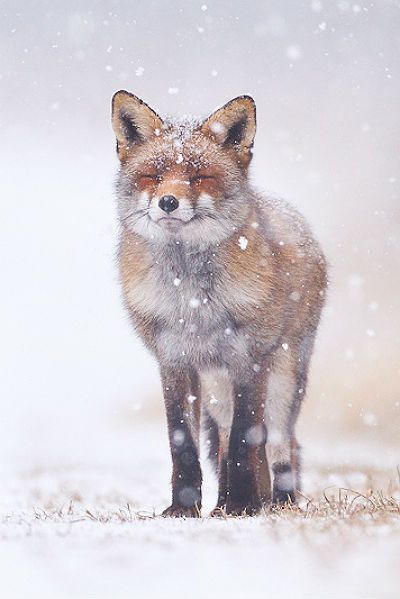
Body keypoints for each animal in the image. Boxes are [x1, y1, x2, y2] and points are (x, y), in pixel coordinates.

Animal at [111, 89, 326, 516]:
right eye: (153, 176)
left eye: (199, 178)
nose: (168, 201)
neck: (191, 300)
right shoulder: (174, 361)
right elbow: (184, 443)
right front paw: (184, 509)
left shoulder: (249, 359)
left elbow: (247, 439)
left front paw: (244, 506)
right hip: (216, 389)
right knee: (225, 439)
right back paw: (224, 503)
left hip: (282, 379)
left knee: (280, 443)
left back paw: (276, 502)